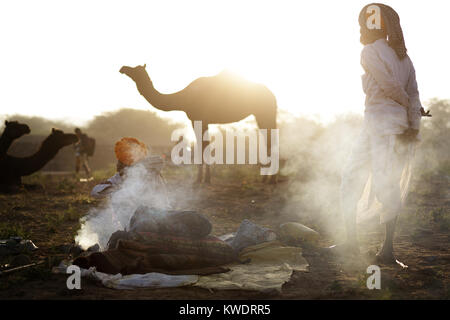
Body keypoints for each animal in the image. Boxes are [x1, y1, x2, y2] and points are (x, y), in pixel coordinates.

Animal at [119, 64, 278, 184]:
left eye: (136, 69)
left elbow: (202, 146)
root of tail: (272, 95)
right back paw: (267, 179)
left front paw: (200, 179)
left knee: (271, 141)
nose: (123, 68)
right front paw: (206, 178)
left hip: (265, 113)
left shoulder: (198, 118)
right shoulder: (203, 120)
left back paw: (271, 180)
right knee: (269, 140)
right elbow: (205, 145)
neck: (183, 98)